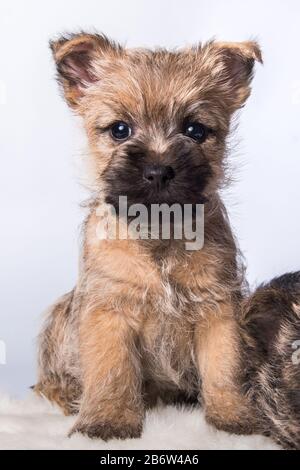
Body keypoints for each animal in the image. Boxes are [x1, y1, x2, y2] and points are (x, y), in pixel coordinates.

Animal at [34, 31, 262, 438]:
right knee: (48, 382)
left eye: (195, 130)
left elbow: (225, 367)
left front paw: (234, 417)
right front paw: (107, 421)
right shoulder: (108, 310)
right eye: (119, 130)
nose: (158, 170)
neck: (159, 233)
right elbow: (112, 369)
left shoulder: (219, 309)